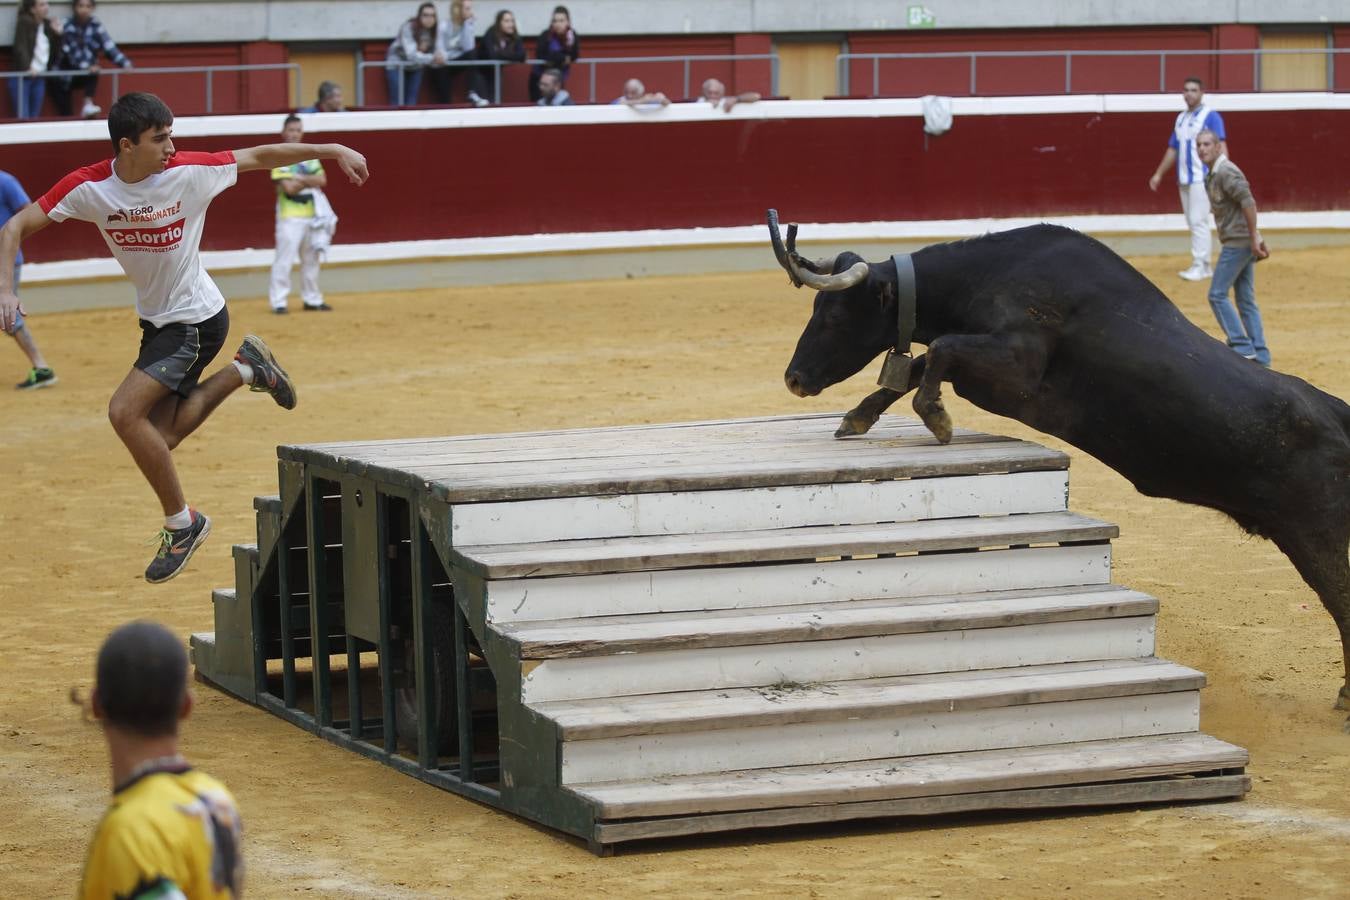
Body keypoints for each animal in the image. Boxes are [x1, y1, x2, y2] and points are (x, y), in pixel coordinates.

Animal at [772, 211, 1350, 723]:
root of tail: (1338, 414)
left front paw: (936, 418)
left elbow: (937, 351)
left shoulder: (1016, 373)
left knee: (1341, 598)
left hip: (1318, 533)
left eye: (834, 315)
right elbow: (917, 362)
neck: (988, 275)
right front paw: (858, 417)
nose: (794, 378)